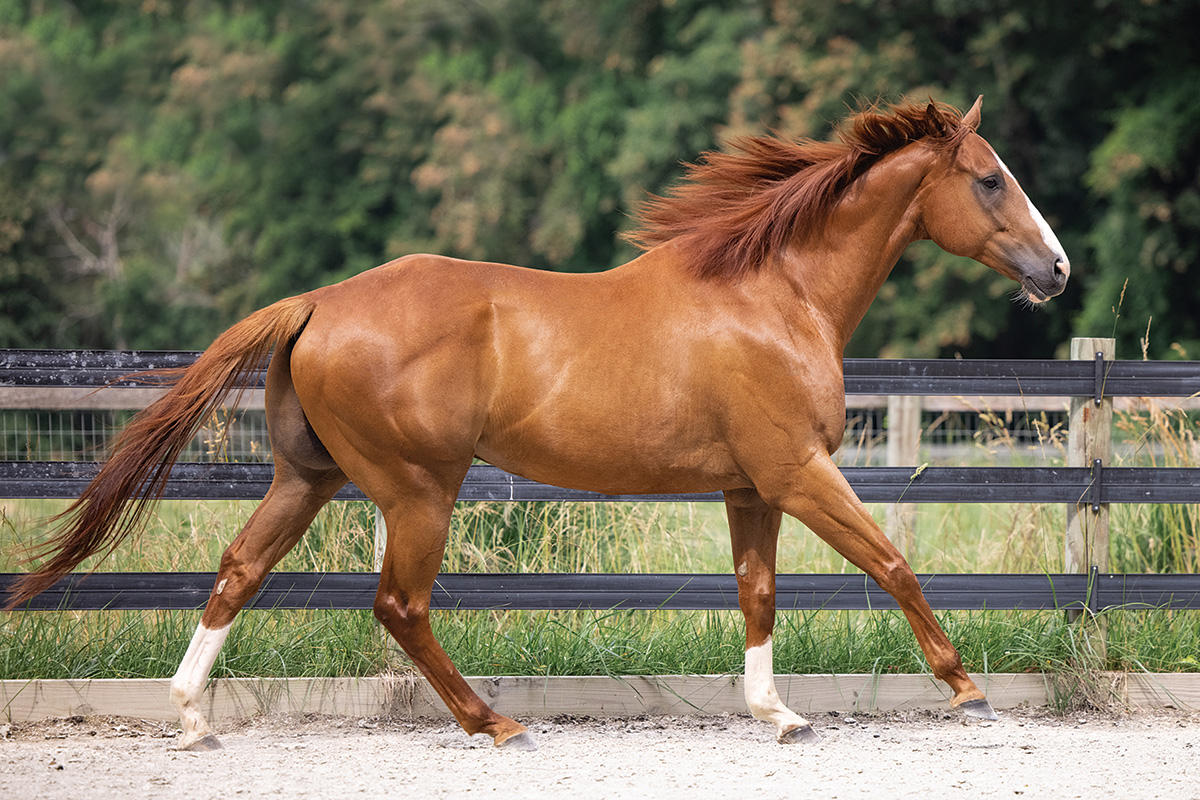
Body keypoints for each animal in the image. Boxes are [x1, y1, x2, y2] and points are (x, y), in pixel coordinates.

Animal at [7, 98, 1070, 753]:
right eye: (988, 178)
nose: (1056, 269)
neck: (775, 294)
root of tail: (318, 303)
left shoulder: (748, 485)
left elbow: (758, 593)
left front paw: (778, 714)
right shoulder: (797, 471)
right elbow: (891, 562)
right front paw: (965, 689)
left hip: (309, 478)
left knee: (239, 568)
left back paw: (193, 718)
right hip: (417, 490)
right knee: (399, 605)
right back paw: (494, 724)